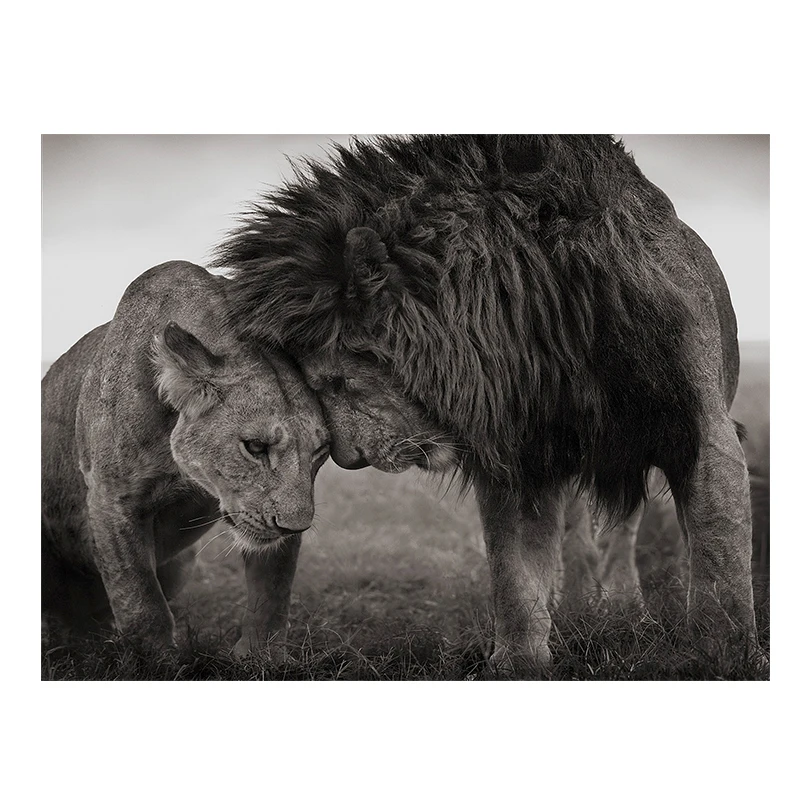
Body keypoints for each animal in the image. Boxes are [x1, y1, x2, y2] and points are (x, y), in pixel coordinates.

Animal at [41, 261, 329, 654]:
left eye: (320, 451)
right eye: (255, 447)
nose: (295, 526)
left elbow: (273, 591)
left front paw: (260, 656)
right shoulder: (111, 498)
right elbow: (141, 600)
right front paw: (154, 659)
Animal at [216, 134, 758, 671]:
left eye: (336, 382)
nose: (349, 460)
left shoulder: (700, 430)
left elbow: (719, 559)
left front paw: (721, 656)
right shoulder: (519, 452)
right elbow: (514, 571)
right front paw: (518, 661)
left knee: (621, 531)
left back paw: (625, 609)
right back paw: (580, 606)